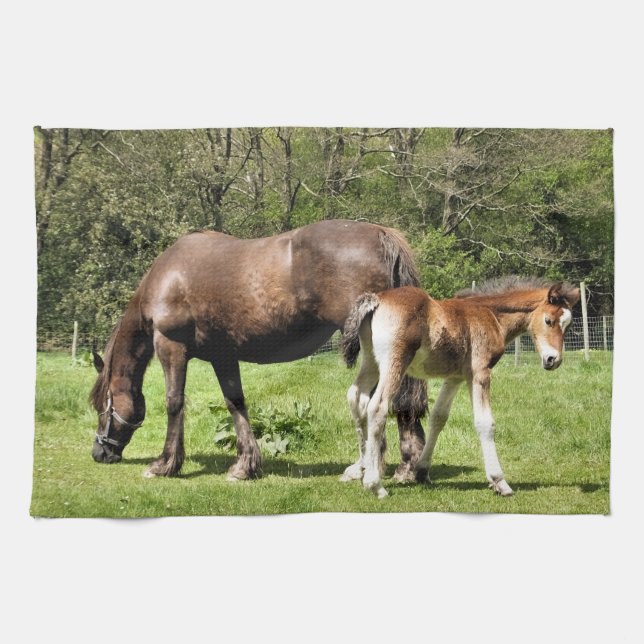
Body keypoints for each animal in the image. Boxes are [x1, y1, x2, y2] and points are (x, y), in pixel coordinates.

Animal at [90, 219, 428, 482]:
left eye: (101, 406)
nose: (98, 452)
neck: (168, 277)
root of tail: (381, 235)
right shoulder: (223, 356)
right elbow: (235, 403)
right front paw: (245, 465)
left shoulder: (171, 347)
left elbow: (174, 403)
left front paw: (165, 464)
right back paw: (409, 465)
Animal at [341, 276, 581, 498]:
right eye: (549, 320)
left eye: (568, 325)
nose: (553, 360)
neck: (491, 315)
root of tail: (377, 299)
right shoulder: (480, 373)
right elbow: (485, 423)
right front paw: (499, 482)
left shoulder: (454, 377)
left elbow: (438, 417)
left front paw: (422, 471)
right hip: (395, 362)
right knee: (377, 407)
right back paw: (375, 484)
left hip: (371, 361)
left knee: (357, 398)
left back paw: (361, 469)